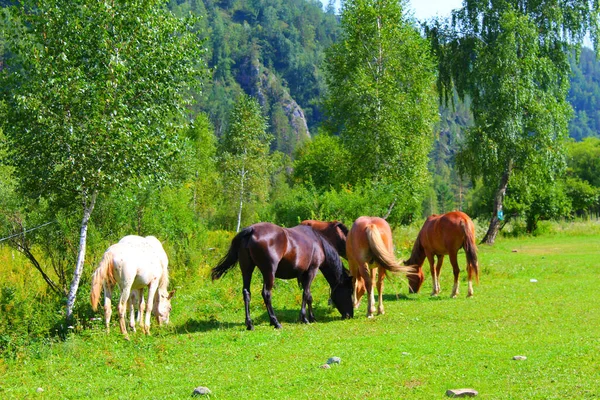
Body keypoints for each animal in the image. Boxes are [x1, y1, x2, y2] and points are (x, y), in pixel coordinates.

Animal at [211, 220, 354, 330]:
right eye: (349, 291)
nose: (350, 315)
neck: (318, 243)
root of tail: (251, 230)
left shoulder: (303, 274)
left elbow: (308, 296)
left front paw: (311, 317)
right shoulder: (311, 270)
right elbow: (306, 294)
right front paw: (305, 318)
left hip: (247, 270)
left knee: (246, 293)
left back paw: (250, 324)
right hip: (269, 272)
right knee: (266, 294)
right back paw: (275, 322)